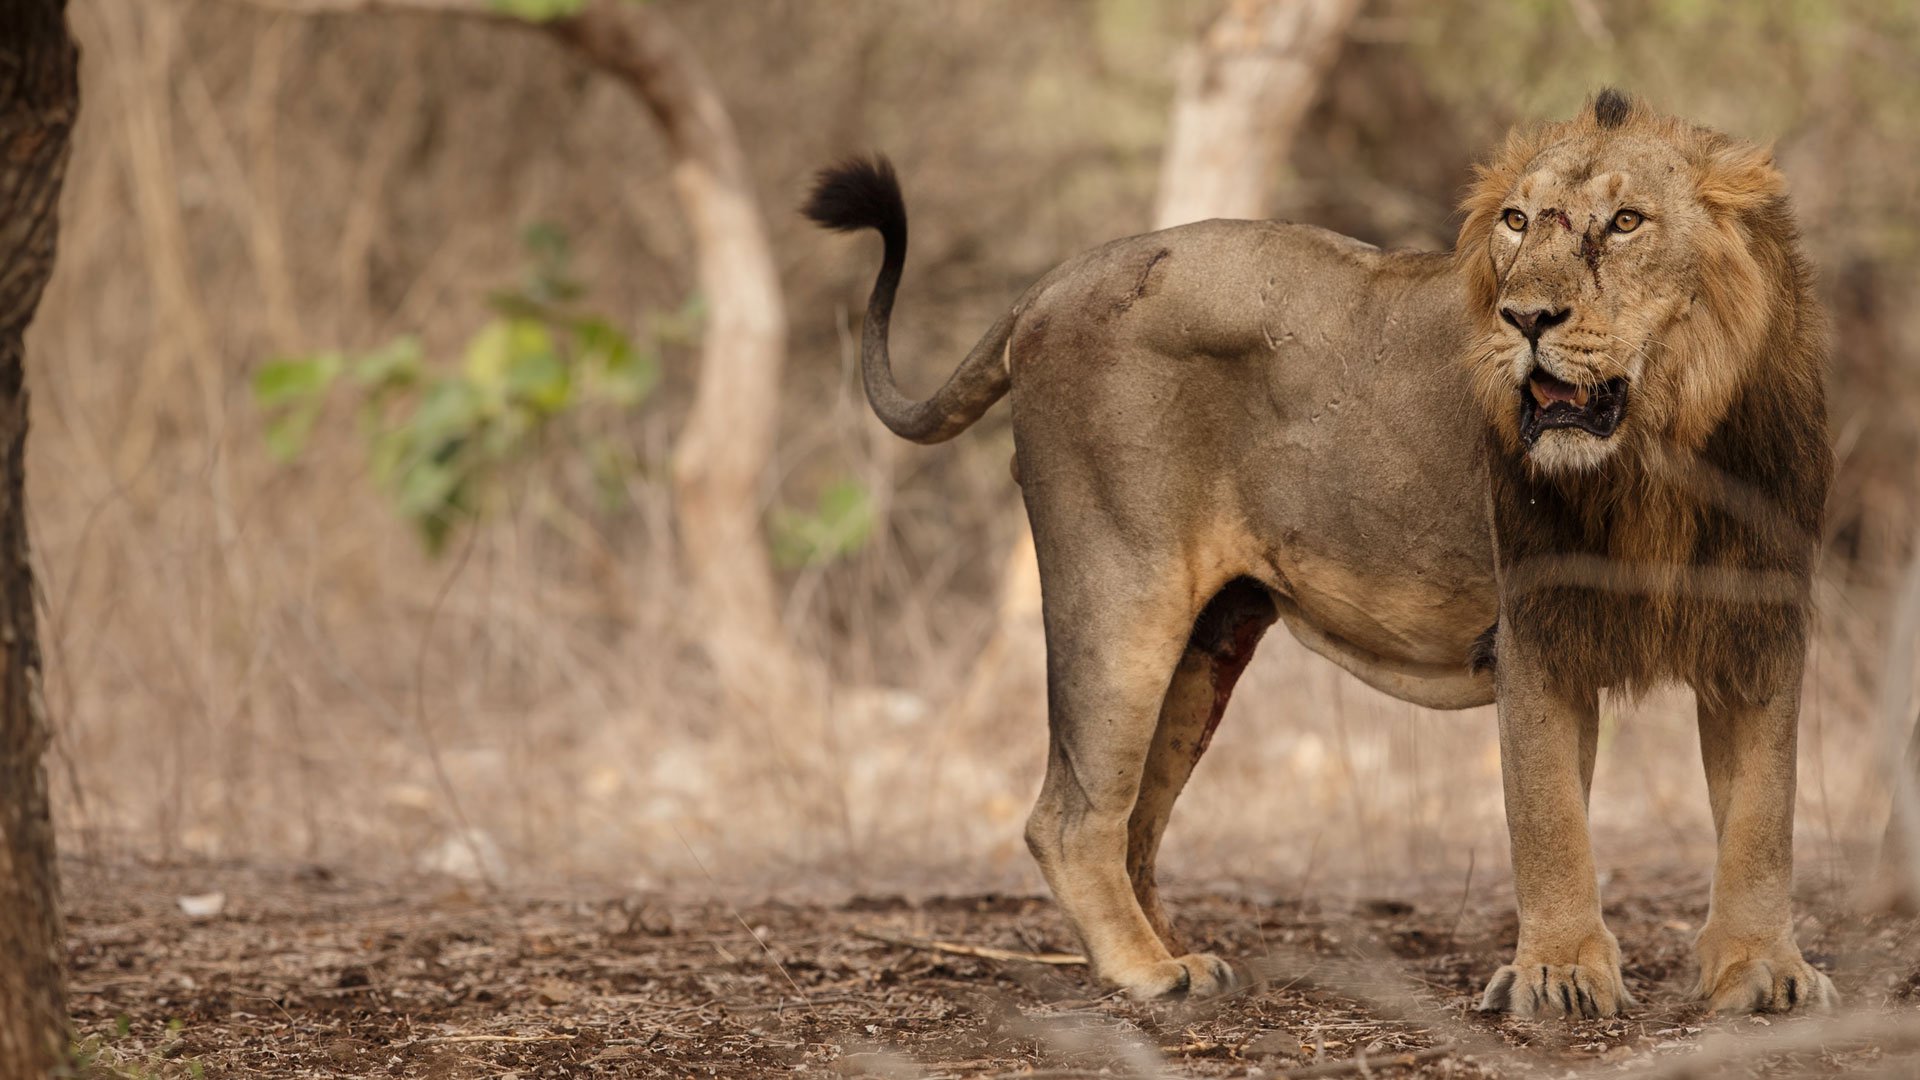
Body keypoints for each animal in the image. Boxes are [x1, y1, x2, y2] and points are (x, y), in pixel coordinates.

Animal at [802, 88, 1835, 1014]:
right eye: (1516, 220)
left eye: (1625, 222)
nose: (1525, 319)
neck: (1666, 453)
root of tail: (1052, 280)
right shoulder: (1536, 629)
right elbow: (1549, 821)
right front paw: (1559, 977)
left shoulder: (1762, 631)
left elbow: (1763, 818)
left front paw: (1763, 974)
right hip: (1119, 592)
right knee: (1068, 816)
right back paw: (1148, 974)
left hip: (1209, 645)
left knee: (1136, 823)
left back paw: (1179, 951)